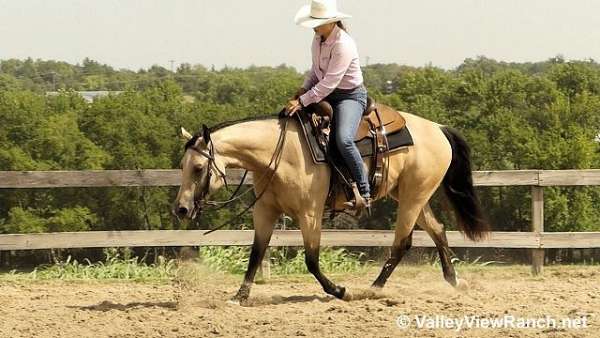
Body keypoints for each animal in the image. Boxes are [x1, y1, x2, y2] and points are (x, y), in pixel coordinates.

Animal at [172, 103, 488, 304]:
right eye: (182, 166)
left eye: (198, 168)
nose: (181, 209)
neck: (281, 153)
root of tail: (438, 128)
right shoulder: (265, 211)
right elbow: (256, 254)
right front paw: (239, 296)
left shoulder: (309, 213)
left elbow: (311, 260)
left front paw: (340, 291)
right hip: (412, 195)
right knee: (438, 230)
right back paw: (453, 281)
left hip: (413, 197)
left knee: (402, 243)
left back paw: (373, 289)